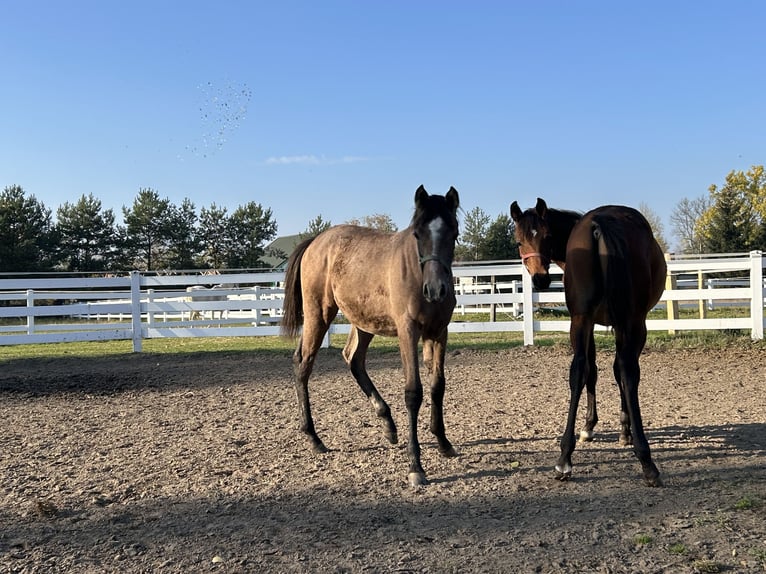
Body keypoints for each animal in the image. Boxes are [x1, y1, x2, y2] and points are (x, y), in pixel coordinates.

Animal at [282, 187, 462, 488]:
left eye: (454, 232)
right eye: (417, 234)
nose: (436, 289)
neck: (418, 273)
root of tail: (316, 241)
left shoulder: (439, 332)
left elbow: (438, 386)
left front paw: (443, 442)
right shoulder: (408, 331)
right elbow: (414, 392)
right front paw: (415, 466)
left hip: (363, 322)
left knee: (353, 359)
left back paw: (387, 423)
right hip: (319, 314)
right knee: (303, 363)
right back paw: (314, 438)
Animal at [512, 197, 668, 486]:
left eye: (546, 236)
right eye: (519, 241)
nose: (540, 278)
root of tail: (599, 225)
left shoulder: (589, 321)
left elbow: (590, 371)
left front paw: (591, 428)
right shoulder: (619, 324)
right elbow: (612, 371)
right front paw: (617, 428)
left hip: (584, 320)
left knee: (579, 370)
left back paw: (565, 459)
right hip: (631, 322)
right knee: (627, 371)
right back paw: (645, 459)